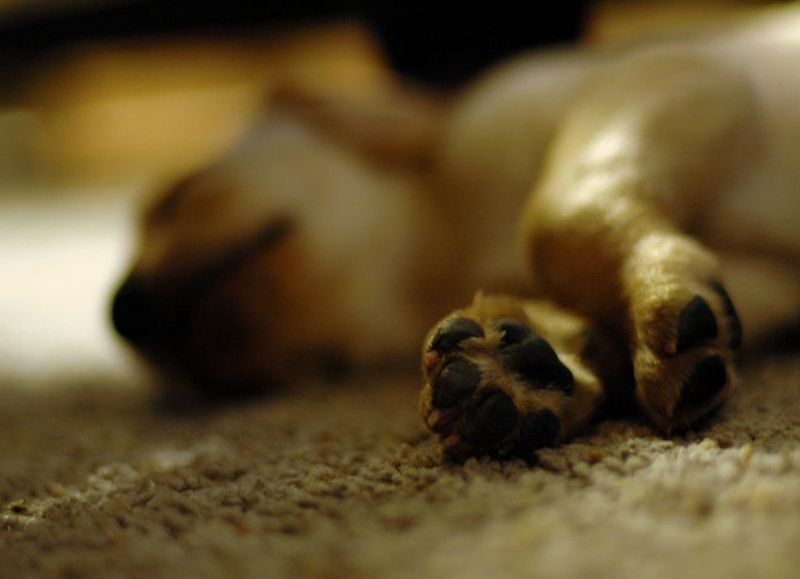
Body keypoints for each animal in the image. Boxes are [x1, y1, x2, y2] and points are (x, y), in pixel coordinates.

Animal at [109, 4, 800, 458]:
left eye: (177, 196)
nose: (122, 313)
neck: (446, 247)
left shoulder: (683, 74)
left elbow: (558, 217)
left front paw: (653, 295)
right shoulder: (765, 284)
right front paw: (527, 365)